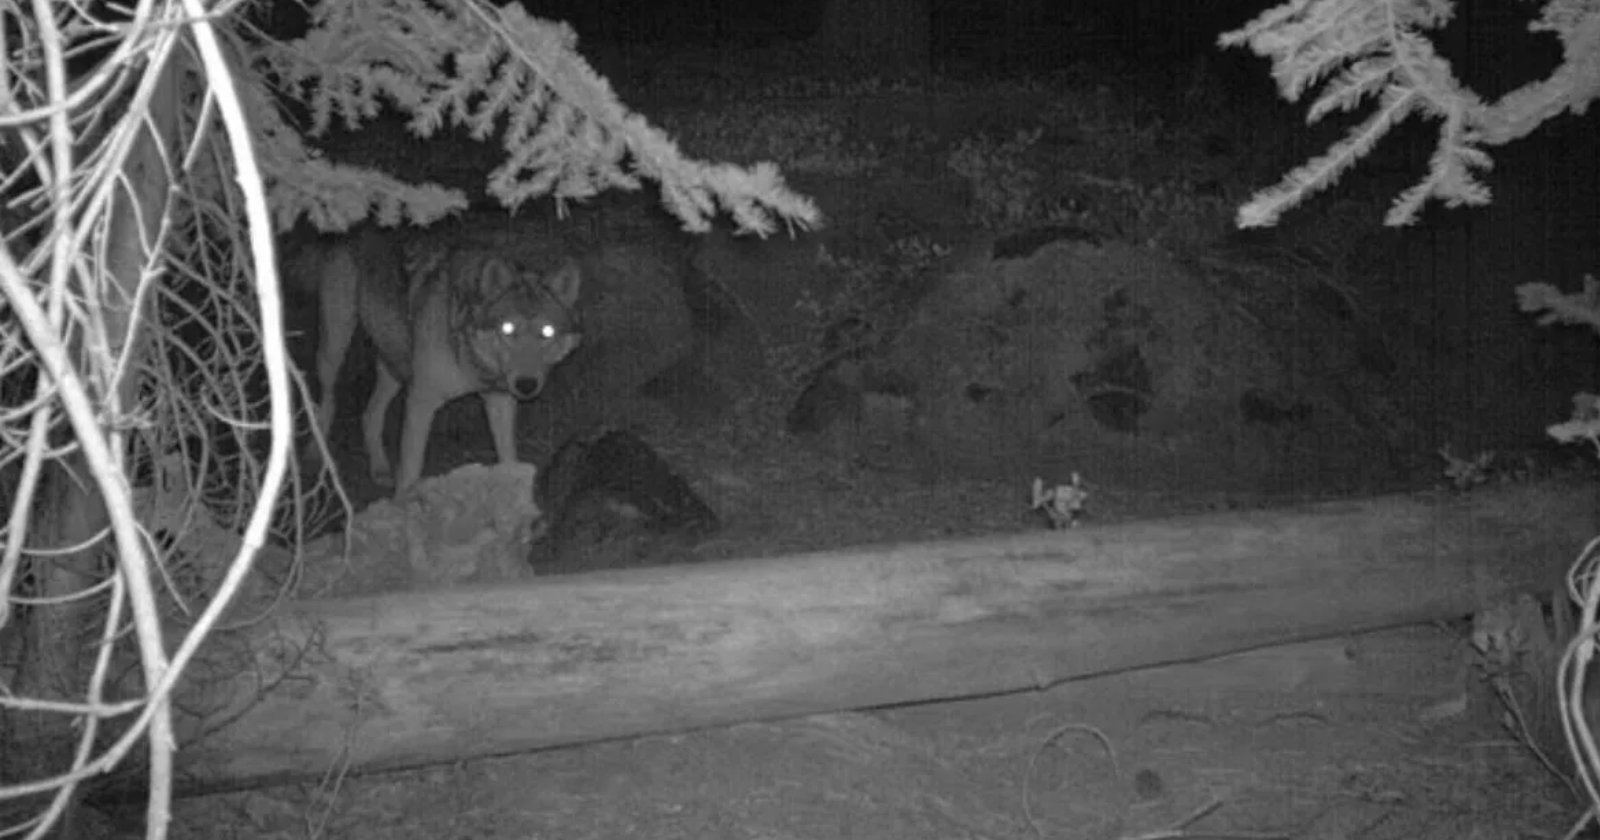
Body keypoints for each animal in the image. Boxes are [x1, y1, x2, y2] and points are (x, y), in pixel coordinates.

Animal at [292, 225, 582, 496]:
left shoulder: (499, 401)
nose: (526, 384)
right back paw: (314, 455)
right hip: (334, 349)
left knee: (370, 414)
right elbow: (409, 473)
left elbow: (509, 459)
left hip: (395, 364)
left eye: (547, 332)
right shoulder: (420, 402)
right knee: (327, 401)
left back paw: (380, 468)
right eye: (508, 329)